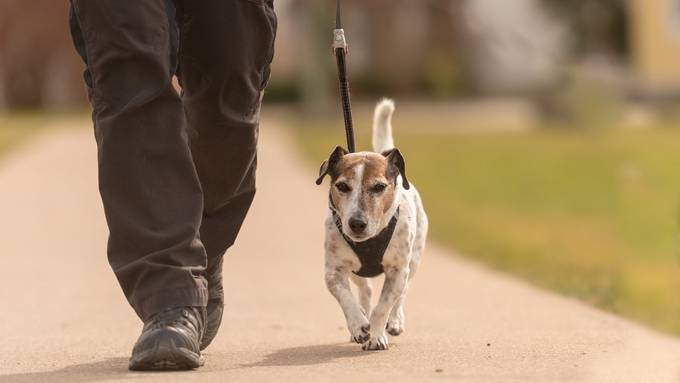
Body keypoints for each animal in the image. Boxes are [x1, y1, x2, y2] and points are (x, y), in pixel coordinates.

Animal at [316, 99, 428, 352]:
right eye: (342, 186)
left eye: (379, 187)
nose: (357, 223)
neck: (370, 240)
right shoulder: (334, 271)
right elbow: (346, 298)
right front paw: (359, 325)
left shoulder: (397, 270)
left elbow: (383, 306)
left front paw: (377, 335)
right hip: (356, 272)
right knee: (365, 290)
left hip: (413, 260)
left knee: (402, 293)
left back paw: (395, 321)